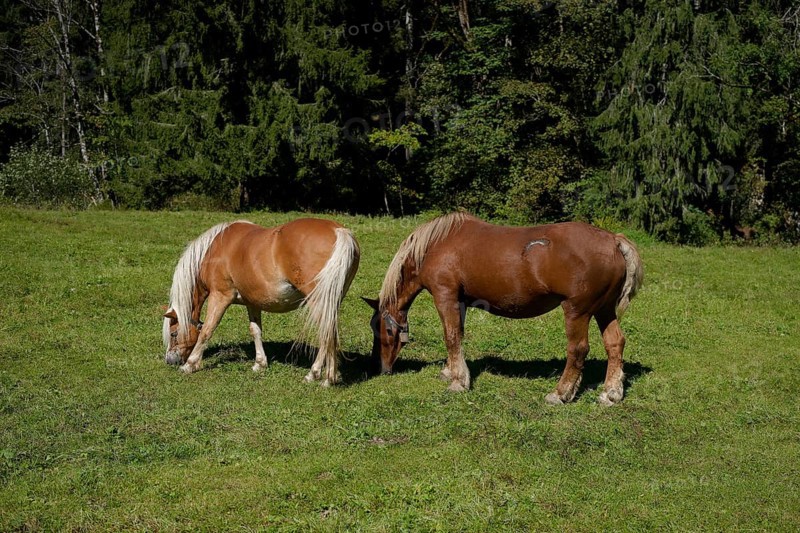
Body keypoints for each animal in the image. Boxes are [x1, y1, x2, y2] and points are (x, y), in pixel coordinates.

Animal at [162, 218, 360, 386]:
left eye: (173, 333)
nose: (169, 360)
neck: (214, 250)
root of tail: (339, 231)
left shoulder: (220, 296)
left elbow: (207, 331)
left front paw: (190, 365)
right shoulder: (252, 302)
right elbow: (255, 330)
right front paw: (260, 363)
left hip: (317, 300)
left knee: (326, 333)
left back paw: (316, 374)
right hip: (331, 300)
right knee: (331, 332)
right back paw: (328, 378)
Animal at [363, 212, 643, 405]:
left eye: (386, 331)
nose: (381, 368)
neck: (435, 246)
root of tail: (613, 240)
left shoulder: (445, 296)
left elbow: (451, 336)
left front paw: (458, 382)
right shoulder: (460, 301)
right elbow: (458, 336)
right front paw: (451, 371)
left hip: (577, 310)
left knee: (578, 349)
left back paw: (560, 393)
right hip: (604, 309)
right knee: (615, 343)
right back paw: (611, 393)